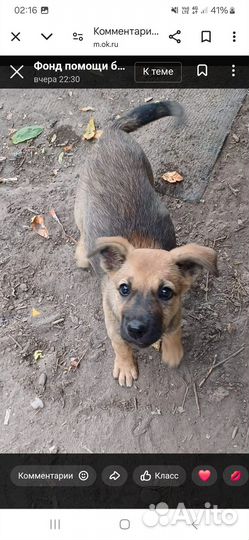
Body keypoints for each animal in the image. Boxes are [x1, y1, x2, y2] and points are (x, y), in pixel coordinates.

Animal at [74, 101, 218, 386]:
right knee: (82, 234)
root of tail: (112, 132)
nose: (137, 330)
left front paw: (172, 350)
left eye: (165, 292)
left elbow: (173, 329)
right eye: (123, 289)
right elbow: (119, 343)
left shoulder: (175, 309)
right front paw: (125, 365)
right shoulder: (112, 320)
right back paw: (83, 252)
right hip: (80, 206)